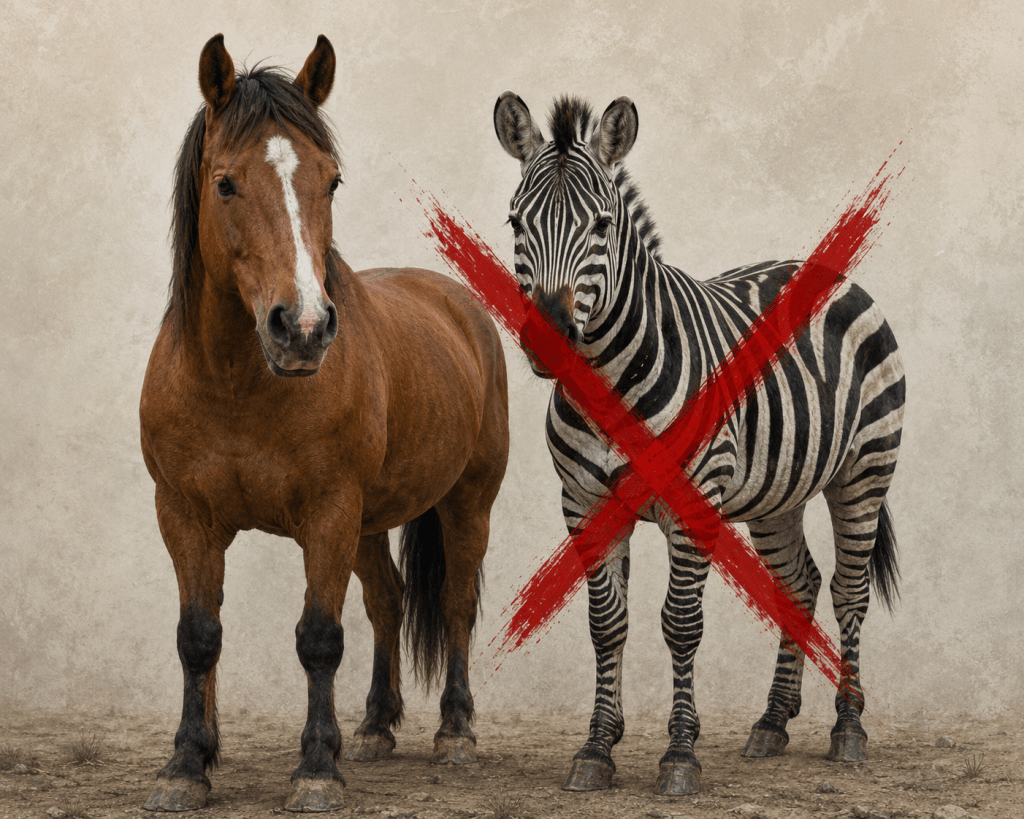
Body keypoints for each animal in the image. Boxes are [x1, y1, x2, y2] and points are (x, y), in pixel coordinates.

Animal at [492, 92, 905, 796]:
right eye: (517, 223)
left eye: (602, 226)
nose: (548, 343)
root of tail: (822, 267)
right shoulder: (583, 503)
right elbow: (607, 626)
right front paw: (597, 747)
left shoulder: (691, 502)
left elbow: (681, 626)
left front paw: (680, 754)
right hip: (777, 492)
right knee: (799, 583)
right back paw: (772, 721)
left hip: (864, 471)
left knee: (849, 589)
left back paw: (848, 727)